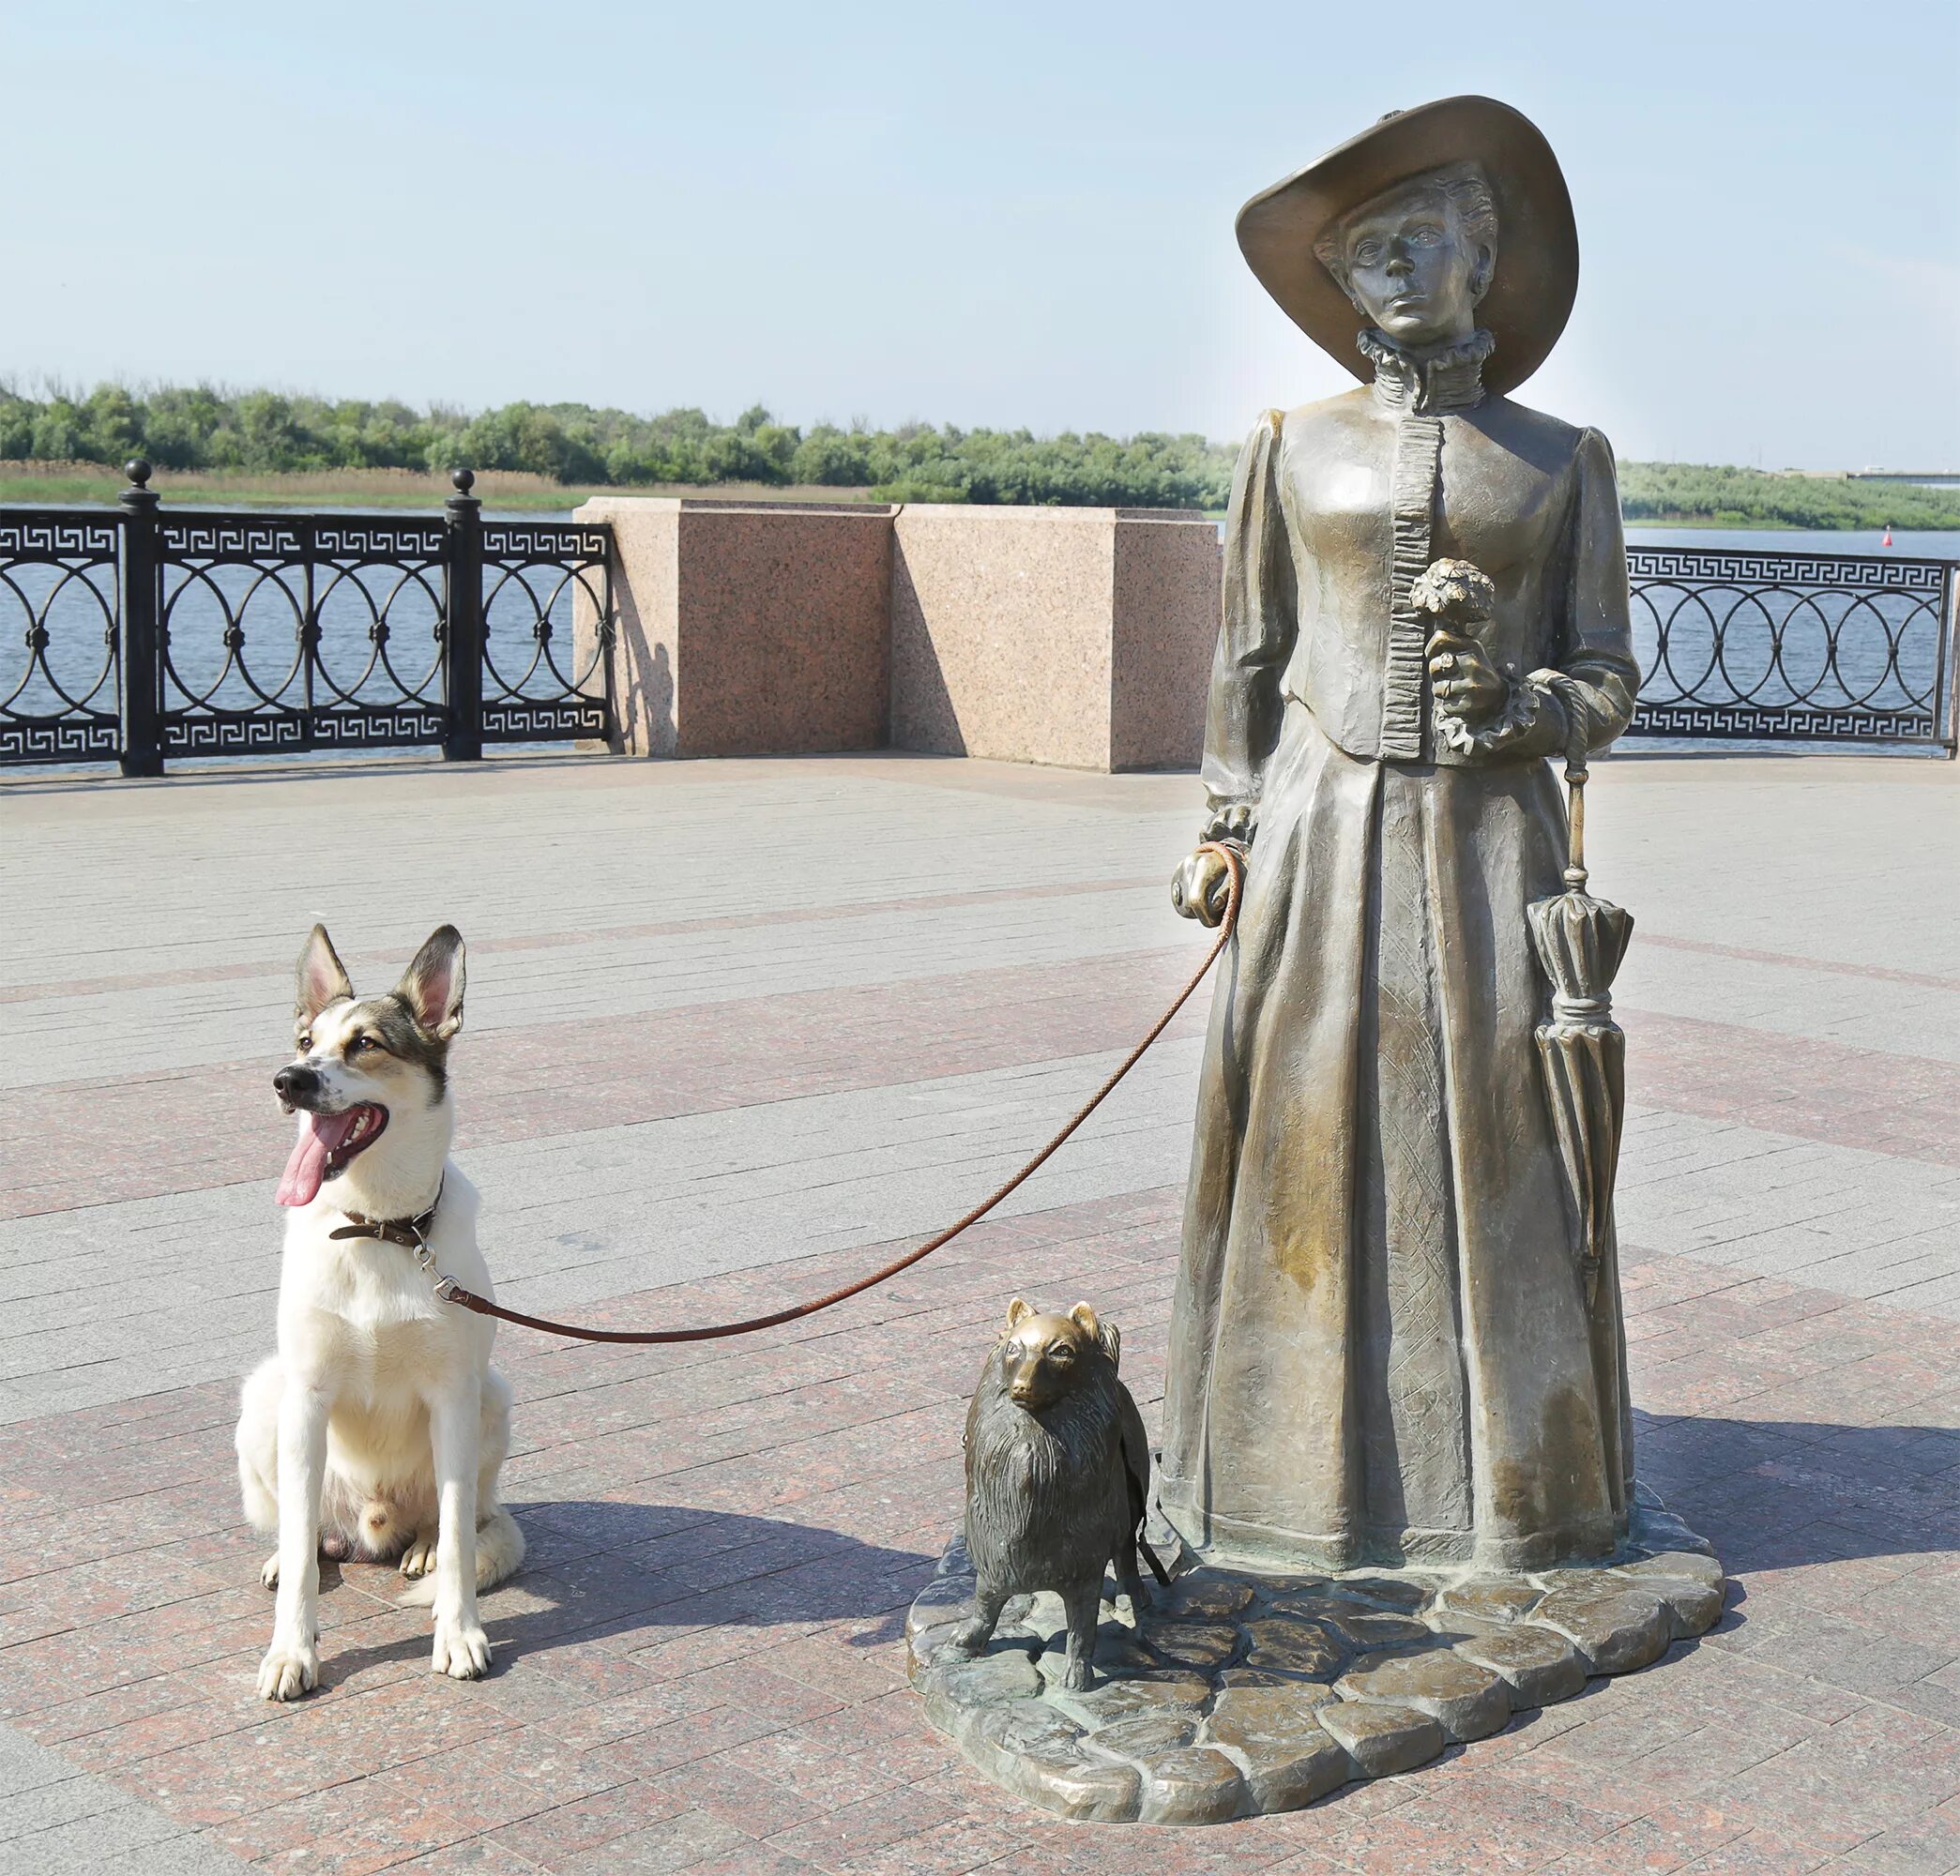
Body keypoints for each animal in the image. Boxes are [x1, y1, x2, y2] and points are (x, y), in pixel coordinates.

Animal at [234, 921, 524, 1702]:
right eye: (306, 1040)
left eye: (365, 1043)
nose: (288, 1080)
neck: (379, 1228)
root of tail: (368, 1525)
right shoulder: (306, 1395)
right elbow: (301, 1566)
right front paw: (292, 1651)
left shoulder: (452, 1395)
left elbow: (456, 1543)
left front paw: (459, 1633)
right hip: (265, 1398)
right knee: (303, 1532)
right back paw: (292, 1553)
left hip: (490, 1398)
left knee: (455, 1521)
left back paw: (420, 1547)